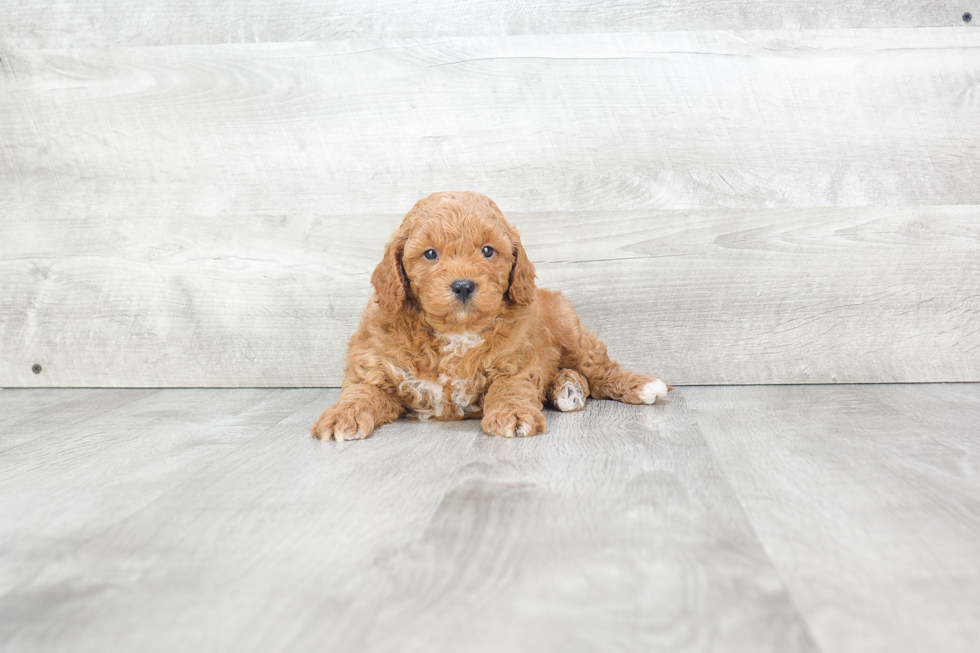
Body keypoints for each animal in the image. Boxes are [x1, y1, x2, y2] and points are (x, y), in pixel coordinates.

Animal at [310, 191, 668, 440]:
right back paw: (567, 386)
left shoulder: (516, 362)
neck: (455, 331)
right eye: (430, 254)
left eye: (487, 250)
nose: (463, 285)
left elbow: (509, 388)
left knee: (600, 368)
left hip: (571, 332)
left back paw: (638, 384)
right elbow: (360, 392)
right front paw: (342, 416)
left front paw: (514, 415)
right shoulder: (376, 368)